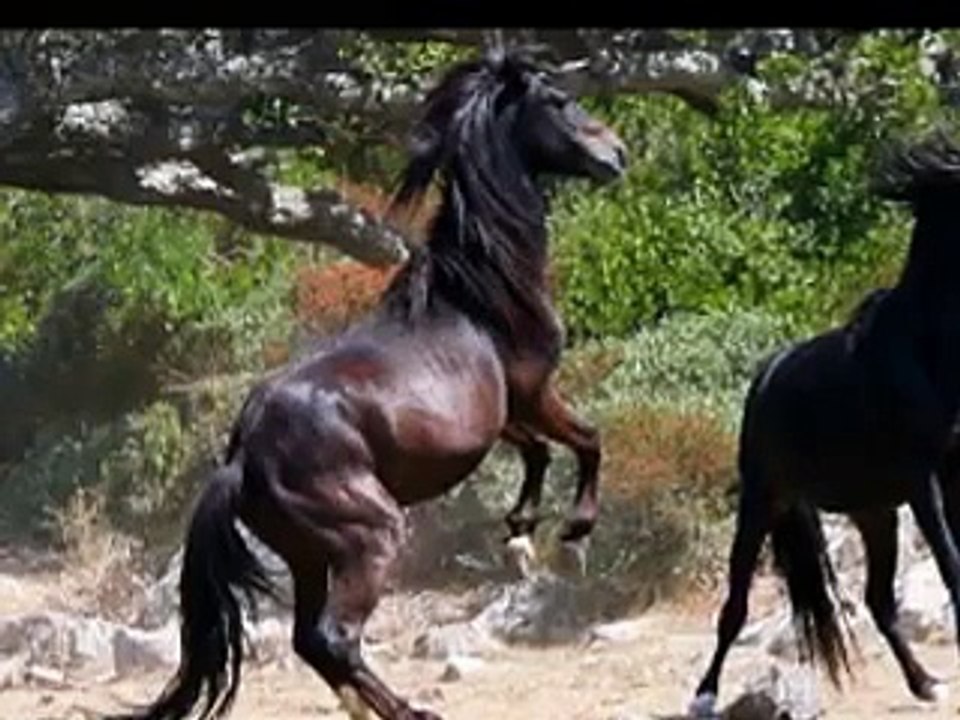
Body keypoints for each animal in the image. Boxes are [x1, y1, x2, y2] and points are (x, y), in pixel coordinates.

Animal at [117, 50, 627, 720]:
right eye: (559, 102)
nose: (616, 152)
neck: (480, 290)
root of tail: (242, 458)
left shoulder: (505, 415)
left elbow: (540, 452)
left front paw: (520, 533)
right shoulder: (534, 392)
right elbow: (588, 439)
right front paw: (572, 538)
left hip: (309, 555)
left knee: (311, 640)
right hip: (369, 537)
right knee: (336, 637)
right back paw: (409, 709)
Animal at [690, 131, 960, 716]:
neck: (929, 351)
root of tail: (765, 376)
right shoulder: (924, 480)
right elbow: (954, 566)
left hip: (874, 512)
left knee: (879, 601)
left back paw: (926, 683)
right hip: (762, 503)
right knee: (733, 609)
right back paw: (703, 695)